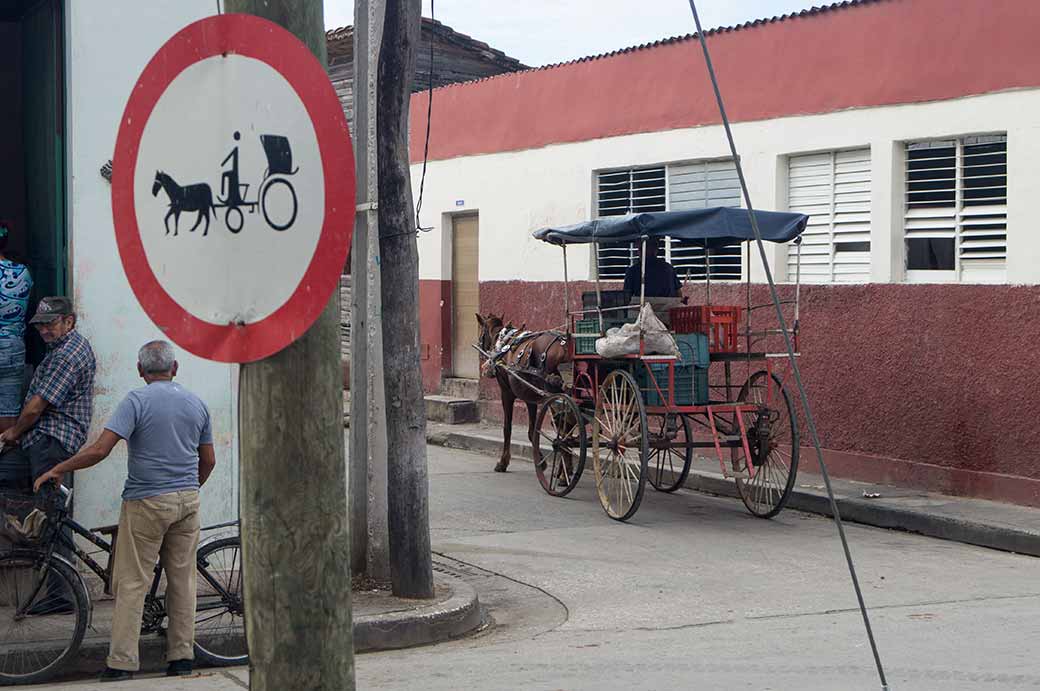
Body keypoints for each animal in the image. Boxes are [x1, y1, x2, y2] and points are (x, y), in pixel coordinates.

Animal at [476, 314, 574, 472]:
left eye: (481, 333)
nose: (485, 366)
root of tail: (564, 347)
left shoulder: (506, 393)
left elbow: (507, 428)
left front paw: (503, 462)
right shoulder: (530, 397)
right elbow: (532, 431)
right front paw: (541, 461)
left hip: (555, 396)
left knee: (564, 430)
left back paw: (564, 471)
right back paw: (564, 470)